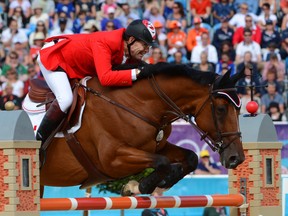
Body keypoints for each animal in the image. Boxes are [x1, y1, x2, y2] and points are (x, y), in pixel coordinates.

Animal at [28, 62, 245, 196]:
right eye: (221, 109)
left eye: (239, 109)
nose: (237, 158)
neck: (137, 104)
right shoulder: (112, 160)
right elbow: (162, 162)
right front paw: (136, 186)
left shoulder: (157, 146)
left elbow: (190, 158)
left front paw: (162, 184)